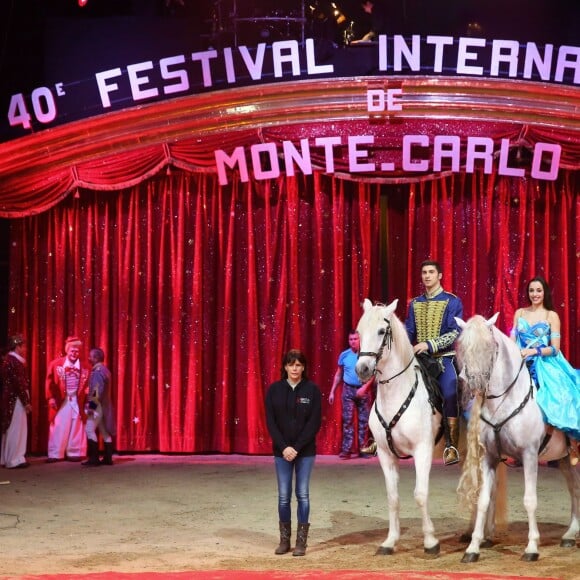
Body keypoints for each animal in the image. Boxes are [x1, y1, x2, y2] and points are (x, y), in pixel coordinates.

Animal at [354, 296, 444, 556]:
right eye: (359, 331)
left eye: (381, 331)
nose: (362, 369)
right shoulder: (385, 454)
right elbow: (393, 498)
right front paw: (390, 541)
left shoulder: (422, 450)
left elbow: (420, 494)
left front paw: (430, 541)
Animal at [456, 312, 576, 560]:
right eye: (463, 346)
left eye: (488, 346)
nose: (472, 381)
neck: (505, 400)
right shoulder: (489, 457)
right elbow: (483, 500)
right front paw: (473, 548)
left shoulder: (529, 455)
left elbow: (529, 500)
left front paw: (531, 548)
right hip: (564, 458)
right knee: (575, 488)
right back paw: (569, 535)